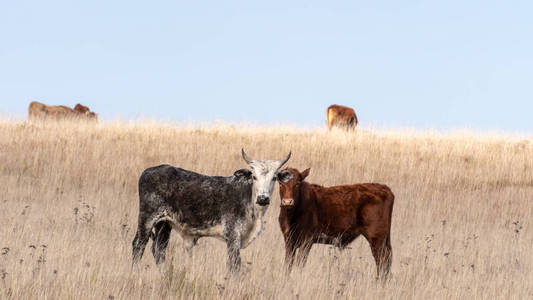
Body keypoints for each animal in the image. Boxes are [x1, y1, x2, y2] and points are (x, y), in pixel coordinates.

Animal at [132, 149, 290, 272]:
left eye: (274, 178)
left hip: (164, 224)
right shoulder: (232, 236)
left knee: (159, 249)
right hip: (147, 218)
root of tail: (148, 171)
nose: (263, 198)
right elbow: (234, 265)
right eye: (254, 176)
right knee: (138, 245)